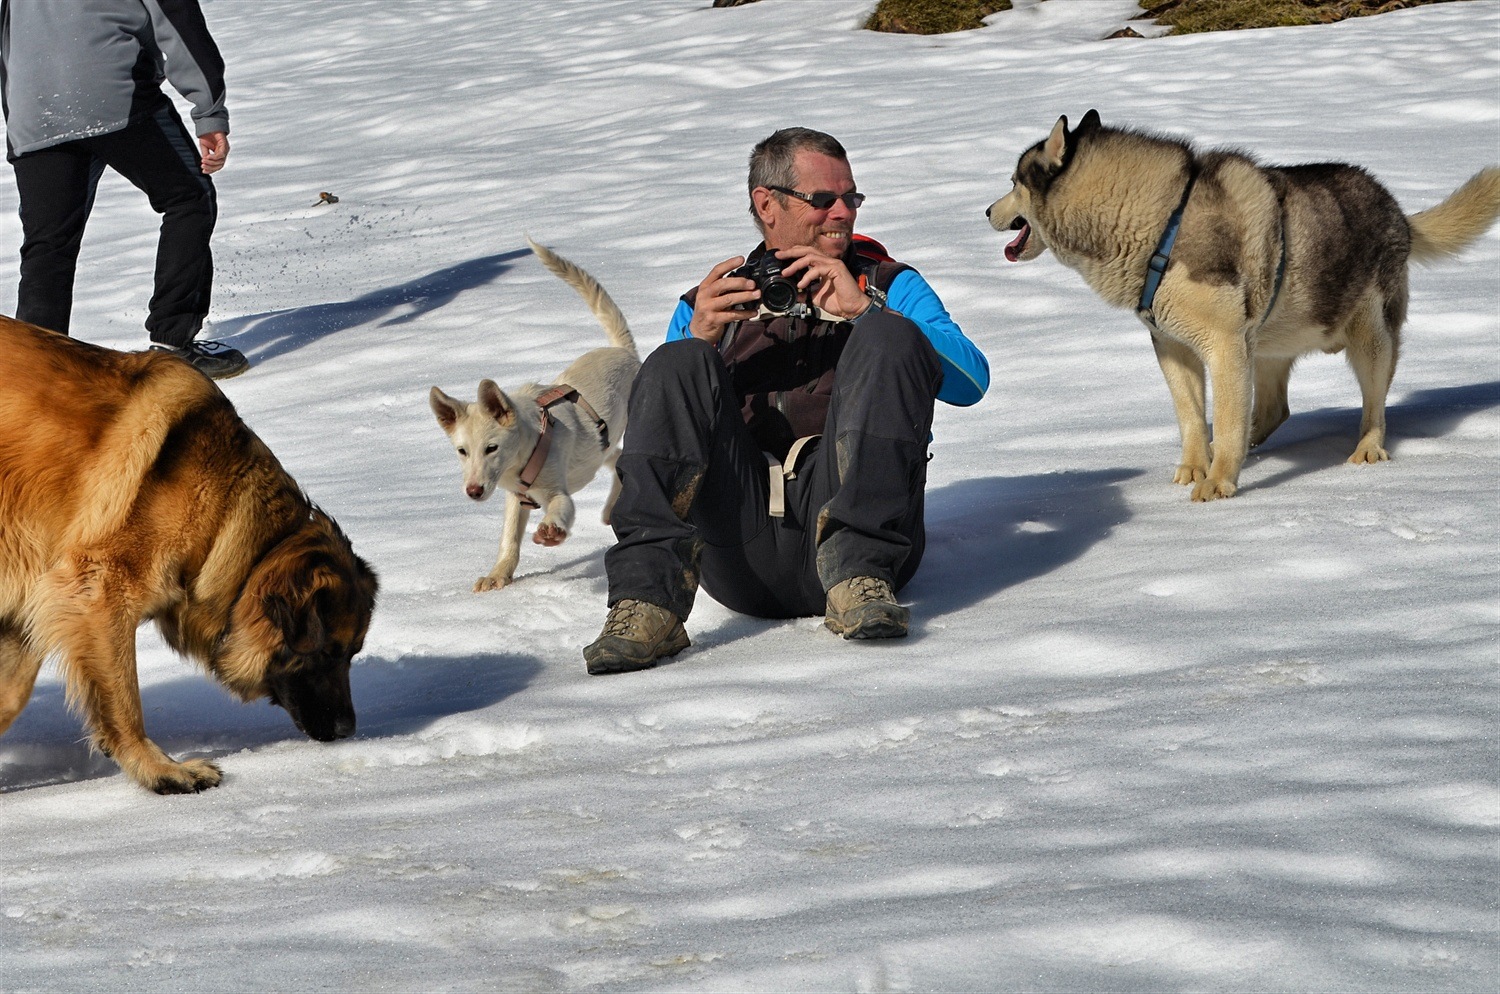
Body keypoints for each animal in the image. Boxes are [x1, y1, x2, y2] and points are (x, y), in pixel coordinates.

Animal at [1, 319, 375, 791]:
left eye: (354, 653)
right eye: (328, 652)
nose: (348, 729)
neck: (226, 521)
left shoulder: (32, 598)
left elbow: (11, 693)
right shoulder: (98, 594)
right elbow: (124, 703)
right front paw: (162, 770)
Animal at [429, 241, 639, 590]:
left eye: (492, 448)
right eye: (462, 451)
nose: (473, 492)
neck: (527, 451)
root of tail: (625, 353)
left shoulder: (557, 492)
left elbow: (560, 508)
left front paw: (551, 529)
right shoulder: (516, 500)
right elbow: (509, 539)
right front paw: (498, 575)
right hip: (600, 449)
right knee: (617, 456)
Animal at [984, 111, 1500, 500]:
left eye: (1012, 181)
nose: (986, 211)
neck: (1162, 224)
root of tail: (1396, 209)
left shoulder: (1225, 345)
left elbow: (1227, 419)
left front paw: (1219, 483)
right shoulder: (1173, 346)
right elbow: (1193, 417)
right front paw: (1198, 466)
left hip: (1368, 338)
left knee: (1373, 405)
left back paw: (1368, 448)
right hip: (1267, 345)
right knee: (1275, 410)